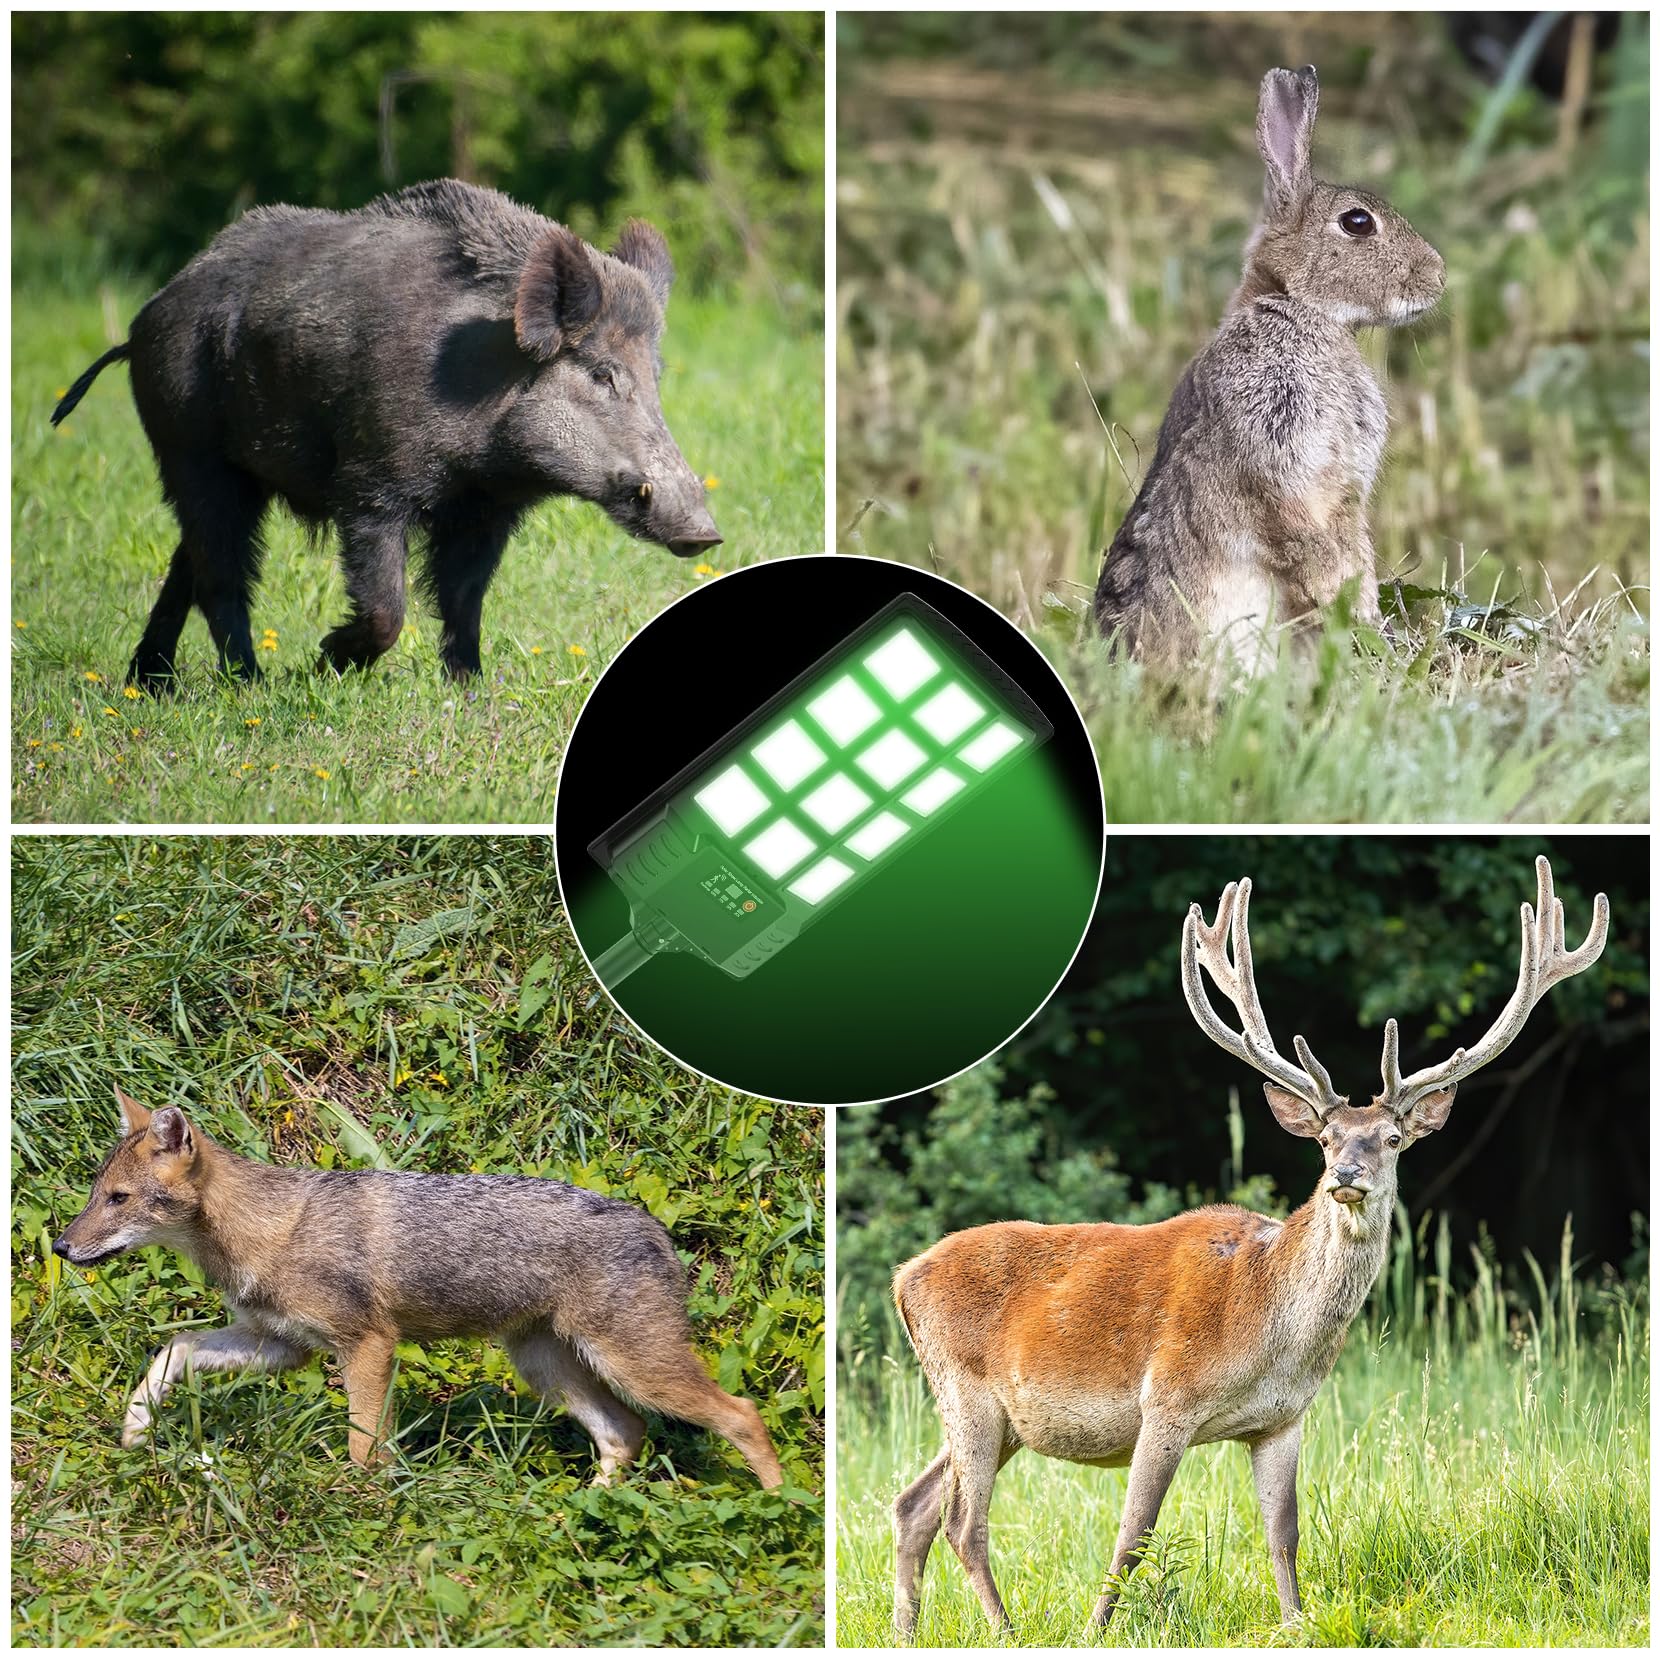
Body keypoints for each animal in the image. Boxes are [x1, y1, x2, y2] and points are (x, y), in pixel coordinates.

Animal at [890, 856, 1609, 1639]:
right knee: (963, 1522)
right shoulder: (1167, 1398)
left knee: (913, 1505)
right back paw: (1006, 1631)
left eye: (1393, 1139)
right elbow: (1133, 1533)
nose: (1346, 1176)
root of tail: (903, 1278)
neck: (1272, 1328)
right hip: (966, 1389)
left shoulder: (1283, 1420)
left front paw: (1297, 1626)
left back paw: (908, 1631)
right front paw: (1094, 1631)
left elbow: (1283, 1532)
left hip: (993, 1418)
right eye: (1325, 1138)